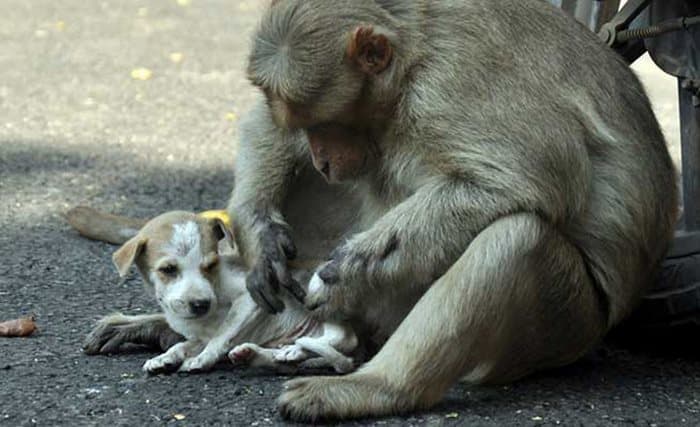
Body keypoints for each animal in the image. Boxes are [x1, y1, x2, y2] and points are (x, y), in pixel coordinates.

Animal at [82, 211, 358, 374]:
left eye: (211, 264)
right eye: (168, 269)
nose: (201, 304)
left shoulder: (248, 299)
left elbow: (222, 334)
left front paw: (203, 359)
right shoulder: (197, 334)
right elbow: (182, 345)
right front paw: (166, 358)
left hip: (319, 295)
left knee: (343, 339)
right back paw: (270, 354)